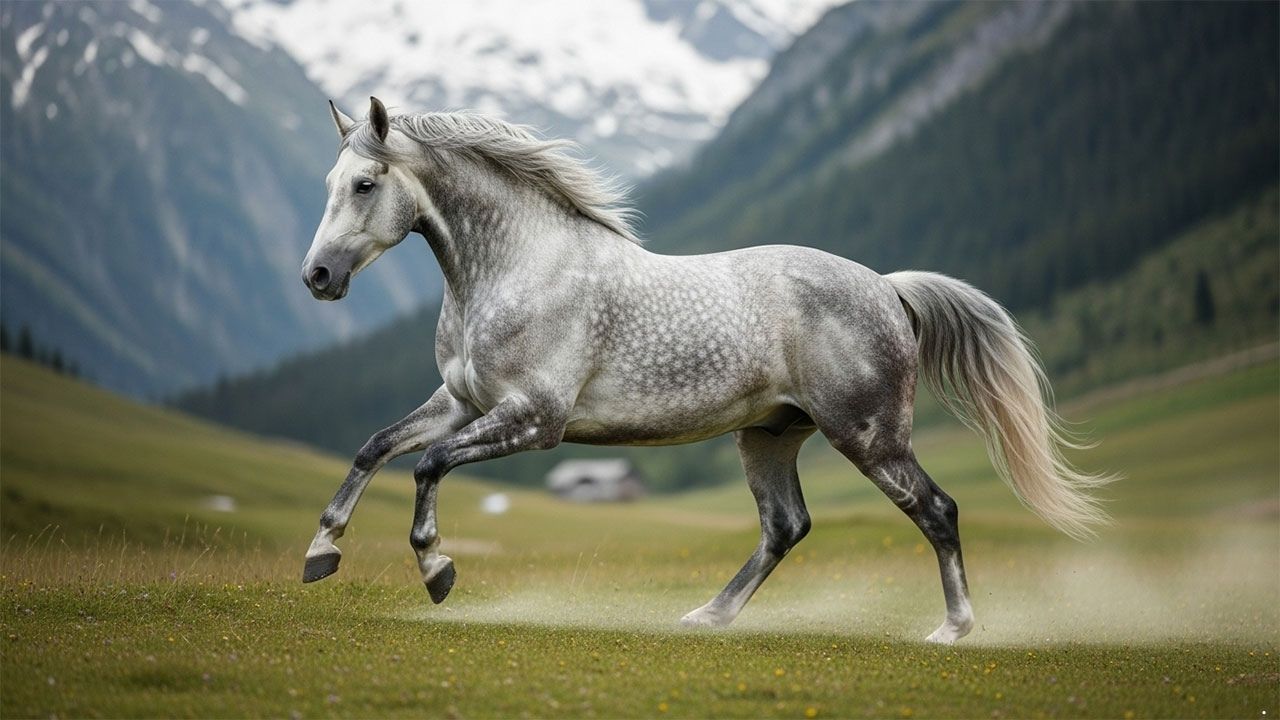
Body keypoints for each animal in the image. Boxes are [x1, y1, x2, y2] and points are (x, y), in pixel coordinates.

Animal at [298, 97, 1110, 644]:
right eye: (329, 181)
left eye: (365, 184)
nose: (318, 277)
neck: (520, 268)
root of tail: (888, 287)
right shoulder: (462, 403)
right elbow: (376, 447)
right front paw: (321, 553)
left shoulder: (534, 419)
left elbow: (428, 464)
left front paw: (437, 570)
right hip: (769, 437)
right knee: (786, 526)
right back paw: (707, 615)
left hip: (869, 435)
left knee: (936, 511)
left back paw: (953, 630)